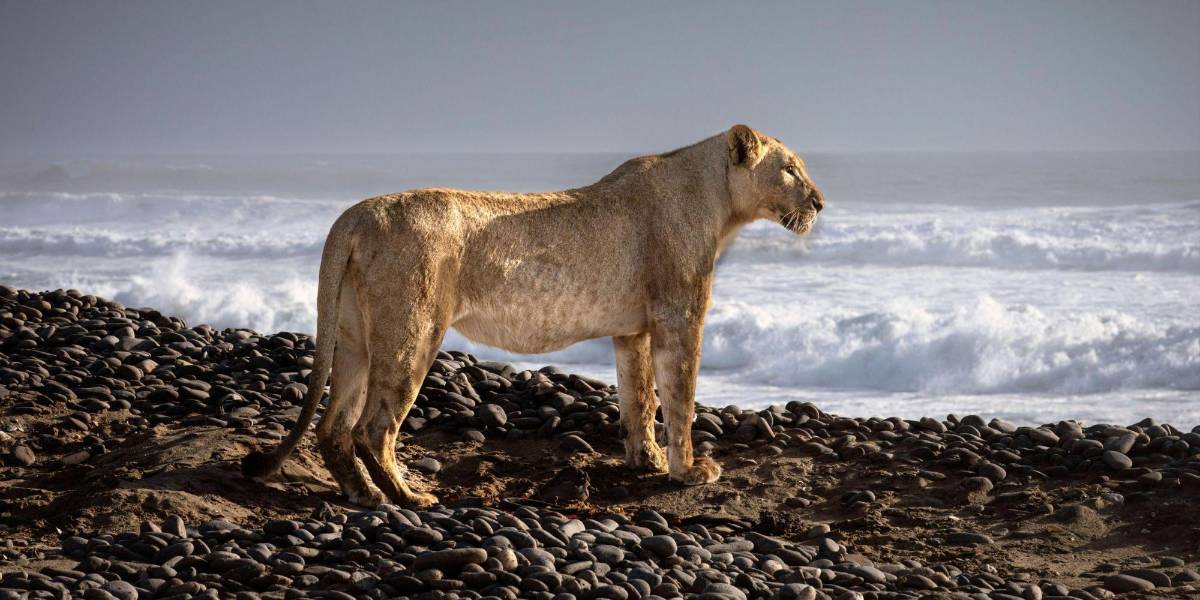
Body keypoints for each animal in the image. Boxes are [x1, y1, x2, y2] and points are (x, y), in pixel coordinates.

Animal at [242, 124, 825, 507]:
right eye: (790, 169)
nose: (820, 202)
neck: (718, 200)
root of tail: (353, 215)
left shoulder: (632, 330)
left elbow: (638, 398)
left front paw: (648, 461)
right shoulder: (679, 317)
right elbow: (678, 398)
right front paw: (689, 471)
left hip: (353, 333)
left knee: (333, 426)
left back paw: (362, 494)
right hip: (413, 328)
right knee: (373, 426)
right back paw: (410, 497)